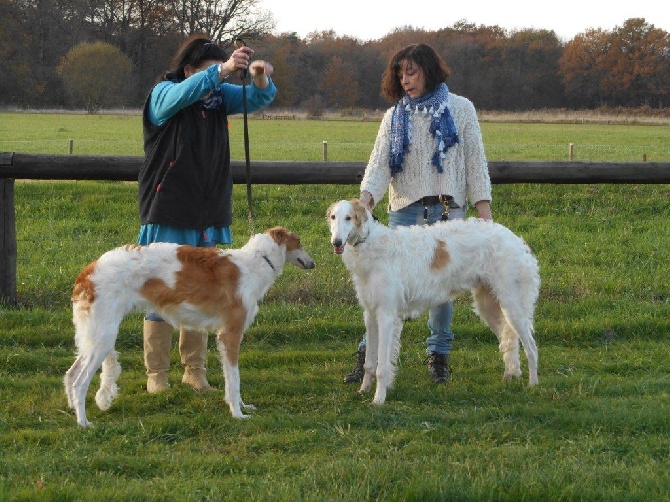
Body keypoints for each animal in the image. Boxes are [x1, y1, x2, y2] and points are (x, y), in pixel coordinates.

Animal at [63, 227, 316, 428]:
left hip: (95, 336)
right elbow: (234, 379)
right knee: (80, 381)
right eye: (300, 242)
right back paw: (83, 422)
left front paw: (242, 406)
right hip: (103, 336)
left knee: (71, 374)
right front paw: (238, 414)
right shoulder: (230, 334)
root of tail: (87, 272)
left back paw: (74, 411)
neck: (256, 262)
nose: (313, 263)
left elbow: (231, 379)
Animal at [328, 200, 544, 404]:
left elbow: (382, 366)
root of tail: (517, 241)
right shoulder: (371, 314)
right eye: (333, 217)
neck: (371, 245)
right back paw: (510, 376)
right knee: (510, 339)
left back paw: (533, 384)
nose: (336, 242)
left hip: (513, 305)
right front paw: (363, 390)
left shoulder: (386, 315)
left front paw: (378, 399)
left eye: (348, 218)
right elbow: (370, 363)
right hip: (489, 305)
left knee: (531, 348)